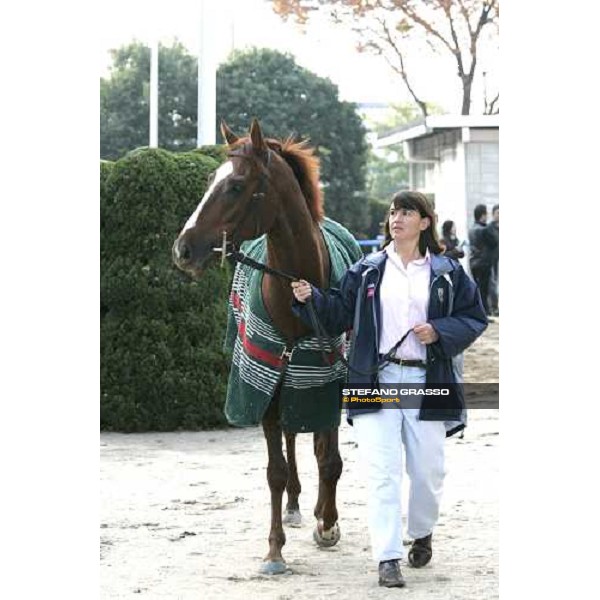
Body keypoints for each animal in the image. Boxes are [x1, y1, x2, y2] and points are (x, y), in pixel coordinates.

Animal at [173, 118, 360, 576]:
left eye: (236, 185)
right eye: (210, 179)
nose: (183, 249)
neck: (298, 293)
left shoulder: (326, 380)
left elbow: (329, 458)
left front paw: (328, 524)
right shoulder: (268, 384)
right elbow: (275, 469)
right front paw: (274, 550)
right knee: (292, 439)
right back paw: (294, 505)